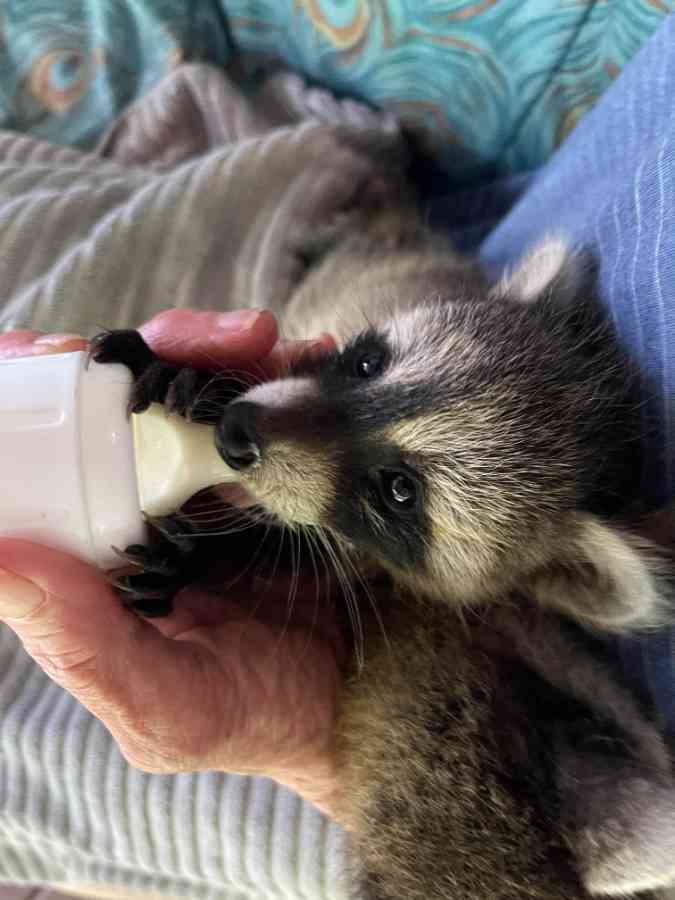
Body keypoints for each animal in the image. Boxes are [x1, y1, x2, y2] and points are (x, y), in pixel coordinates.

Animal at [91, 209, 675, 898]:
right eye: (368, 363)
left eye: (399, 491)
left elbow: (308, 559)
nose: (236, 434)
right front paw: (199, 381)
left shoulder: (389, 568)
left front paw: (221, 555)